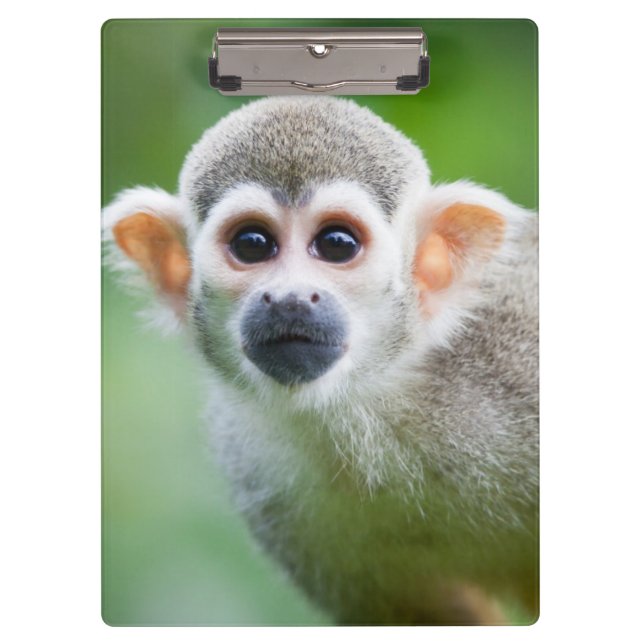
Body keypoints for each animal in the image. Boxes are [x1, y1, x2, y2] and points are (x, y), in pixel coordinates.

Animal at [103, 96, 538, 626]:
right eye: (252, 244)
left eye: (336, 244)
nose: (290, 299)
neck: (370, 407)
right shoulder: (258, 474)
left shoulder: (516, 348)